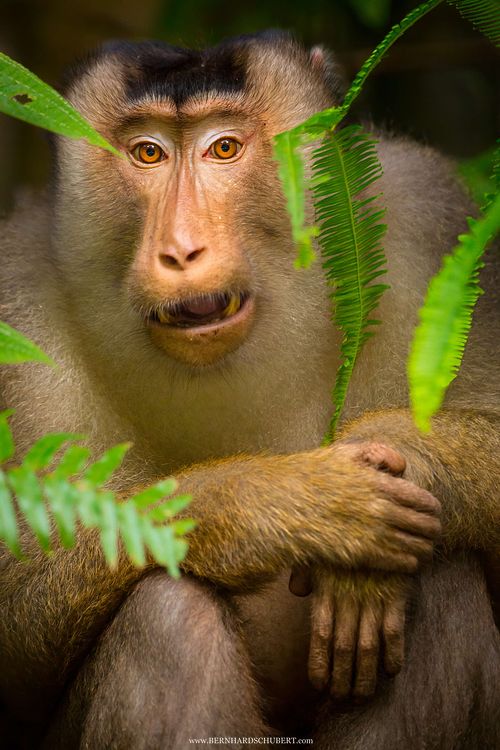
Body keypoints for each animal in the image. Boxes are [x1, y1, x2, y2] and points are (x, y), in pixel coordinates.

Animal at [0, 30, 498, 749]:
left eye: (225, 149)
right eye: (147, 153)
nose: (181, 250)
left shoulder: (428, 215)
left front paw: (404, 449)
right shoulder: (20, 305)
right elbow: (16, 626)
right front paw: (274, 502)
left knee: (443, 571)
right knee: (168, 618)